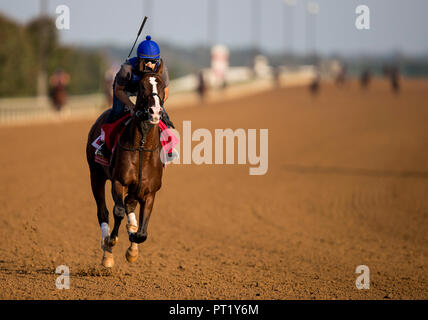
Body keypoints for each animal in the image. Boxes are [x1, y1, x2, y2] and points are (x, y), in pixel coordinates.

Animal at [86, 62, 166, 268]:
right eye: (142, 87)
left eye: (161, 85)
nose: (155, 112)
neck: (142, 146)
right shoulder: (118, 182)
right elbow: (118, 211)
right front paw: (111, 240)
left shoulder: (149, 192)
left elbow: (142, 233)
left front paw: (133, 245)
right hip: (96, 176)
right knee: (103, 212)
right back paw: (107, 254)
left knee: (129, 206)